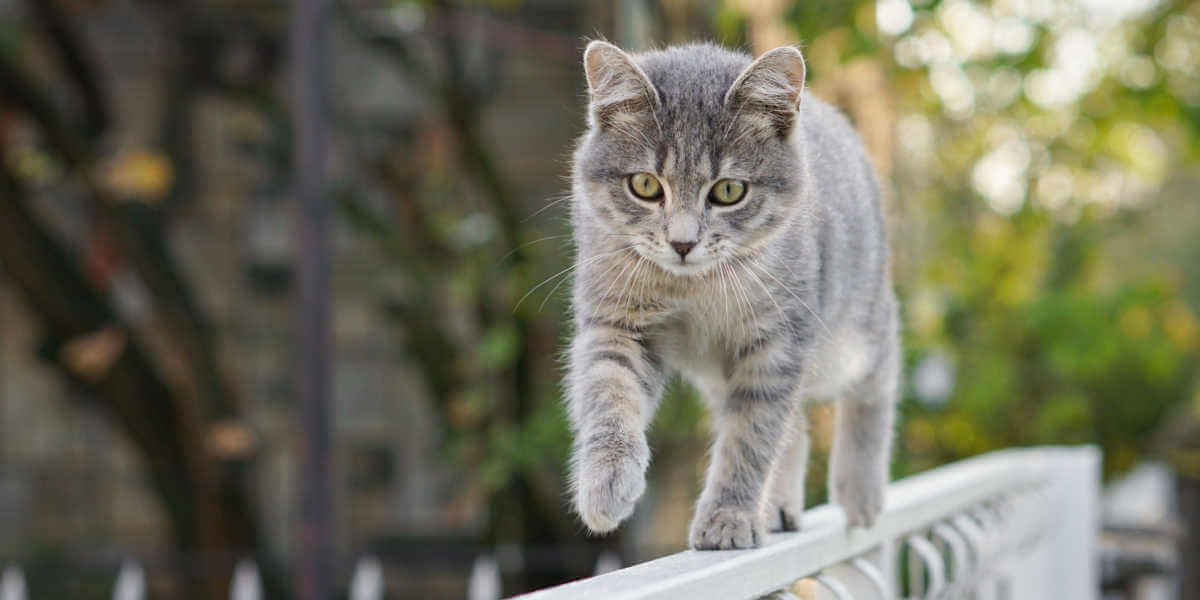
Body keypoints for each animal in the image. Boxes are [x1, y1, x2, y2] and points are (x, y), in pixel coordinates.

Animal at [564, 39, 902, 549]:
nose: (682, 243)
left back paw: (859, 488)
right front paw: (606, 482)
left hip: (854, 333)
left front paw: (728, 516)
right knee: (796, 428)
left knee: (877, 378)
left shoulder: (777, 344)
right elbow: (608, 393)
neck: (693, 288)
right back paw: (779, 506)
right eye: (644, 185)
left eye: (728, 191)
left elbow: (750, 438)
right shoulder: (617, 322)